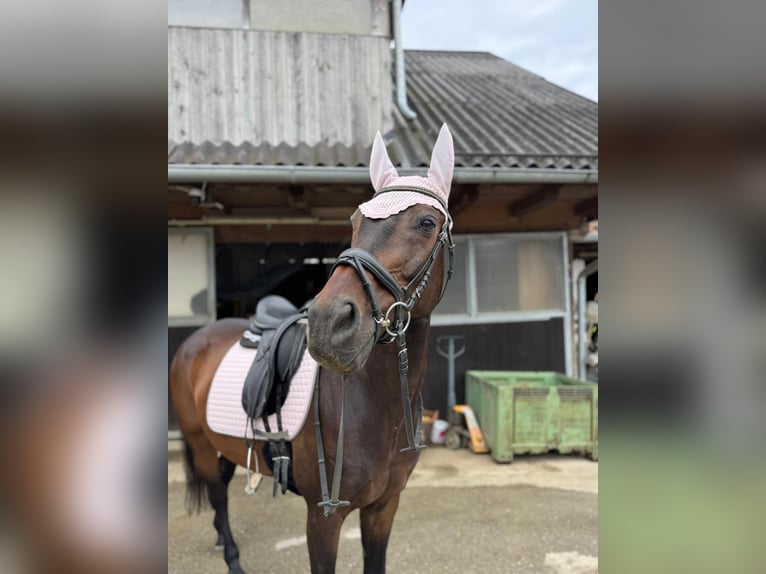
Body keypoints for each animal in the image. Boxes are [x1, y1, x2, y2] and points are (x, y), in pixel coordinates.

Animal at [169, 124, 455, 574]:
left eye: (427, 222)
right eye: (355, 220)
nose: (328, 322)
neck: (378, 408)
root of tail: (193, 344)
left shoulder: (383, 508)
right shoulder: (323, 520)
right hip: (200, 444)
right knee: (217, 493)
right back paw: (232, 557)